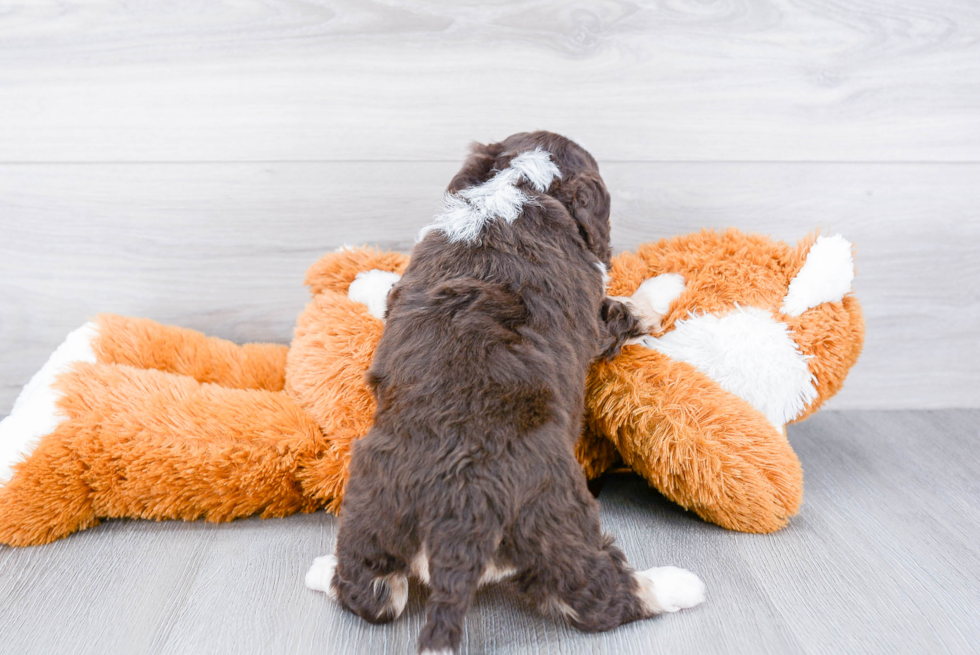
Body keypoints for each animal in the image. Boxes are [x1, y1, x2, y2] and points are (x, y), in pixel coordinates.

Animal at [306, 131, 704, 652]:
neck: (516, 186)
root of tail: (457, 516)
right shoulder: (596, 315)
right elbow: (628, 307)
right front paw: (667, 284)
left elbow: (390, 290)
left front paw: (364, 280)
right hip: (556, 517)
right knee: (600, 595)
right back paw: (678, 585)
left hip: (372, 504)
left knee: (374, 594)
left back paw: (322, 570)